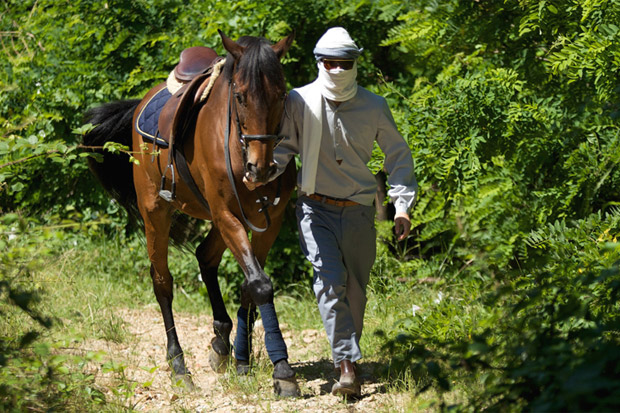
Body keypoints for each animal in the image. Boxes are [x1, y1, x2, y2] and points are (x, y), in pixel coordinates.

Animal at [81, 30, 298, 394]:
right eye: (239, 96)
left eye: (281, 94)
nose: (261, 168)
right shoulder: (227, 215)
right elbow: (260, 284)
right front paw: (281, 370)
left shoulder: (269, 222)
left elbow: (250, 285)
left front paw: (243, 358)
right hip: (155, 211)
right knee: (162, 283)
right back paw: (179, 364)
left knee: (205, 257)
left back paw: (222, 341)